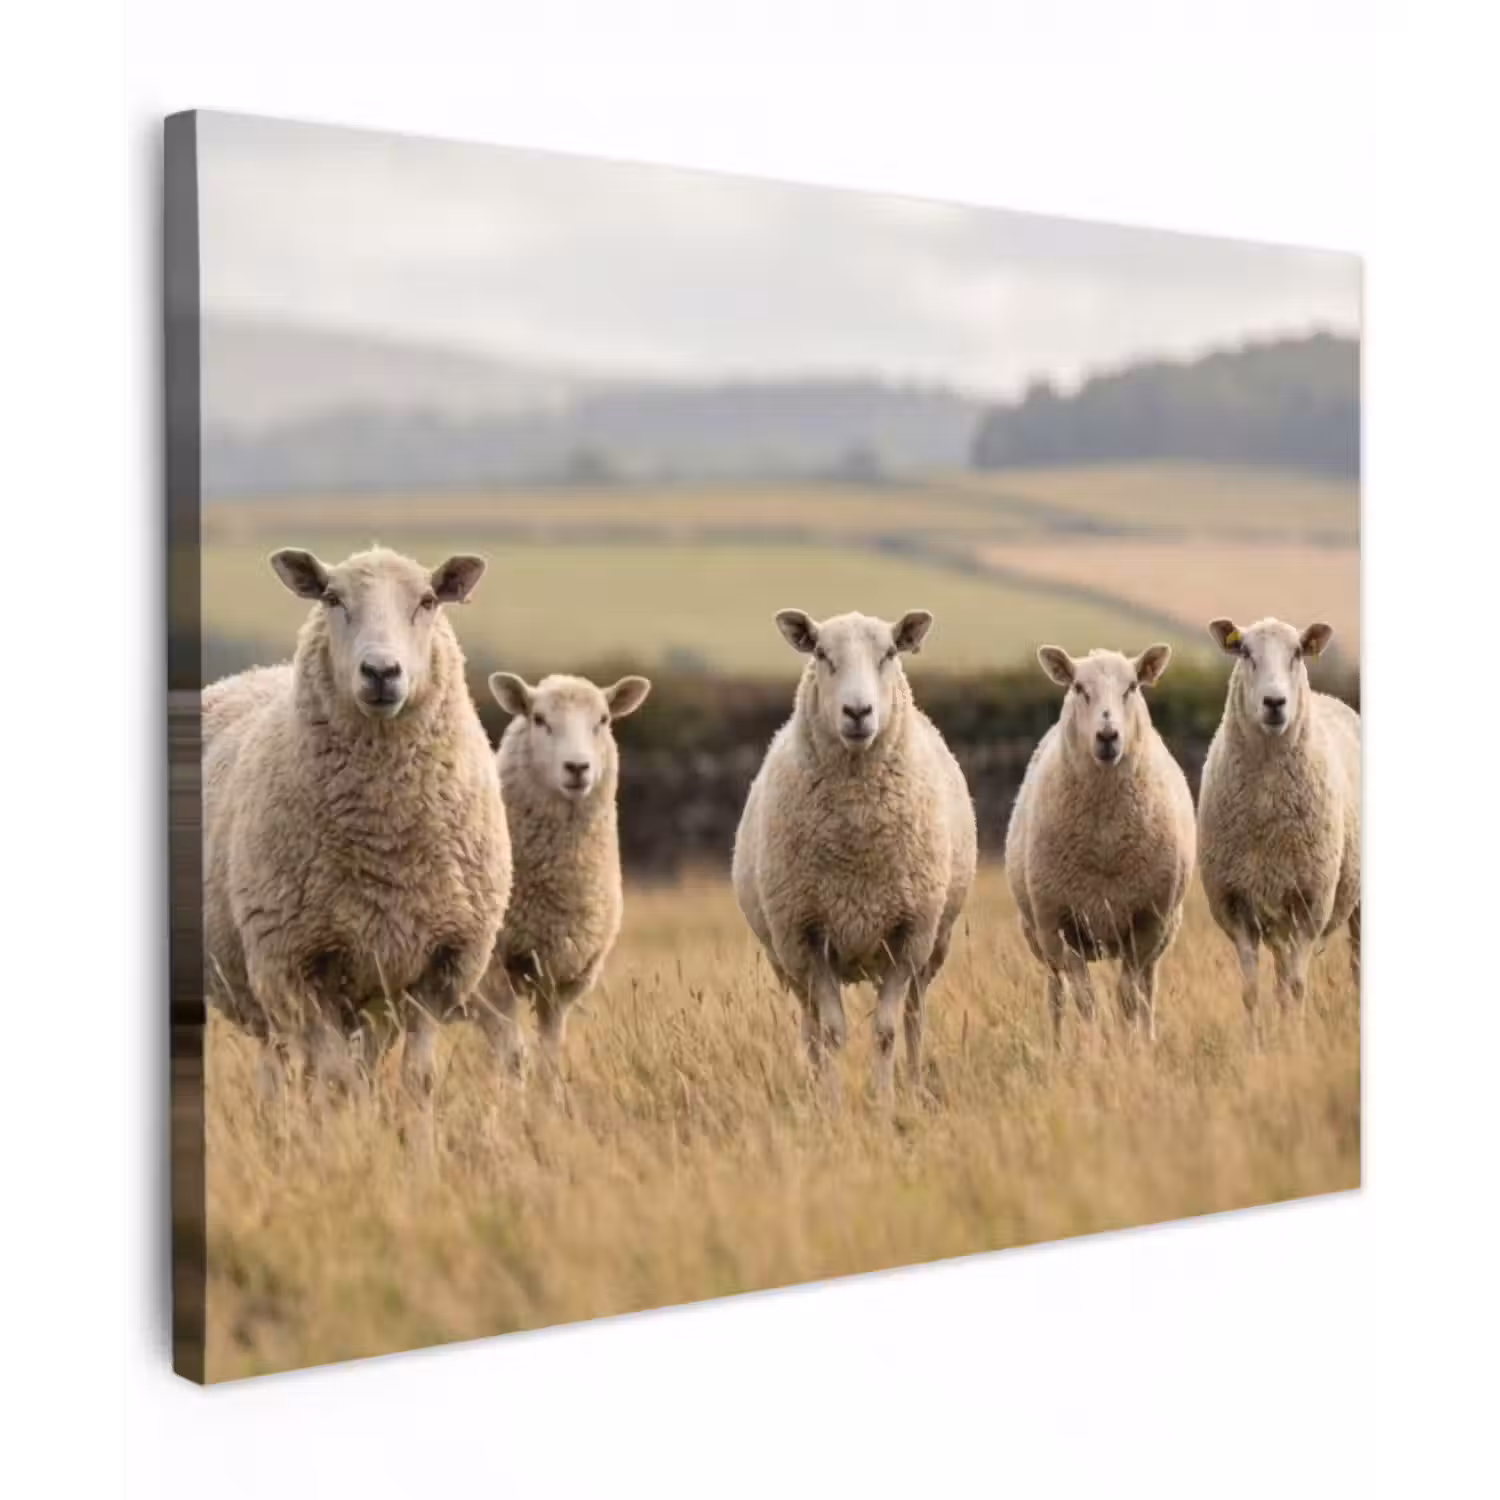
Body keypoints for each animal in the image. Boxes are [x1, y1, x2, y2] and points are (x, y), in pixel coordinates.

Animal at [202, 545, 512, 1096]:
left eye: (429, 600)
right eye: (331, 598)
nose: (381, 672)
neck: (386, 840)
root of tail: (249, 674)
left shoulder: (441, 966)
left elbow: (417, 1077)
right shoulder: (296, 967)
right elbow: (337, 1080)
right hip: (269, 987)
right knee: (282, 1070)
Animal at [473, 671, 651, 1080]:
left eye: (603, 720)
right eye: (538, 719)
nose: (577, 768)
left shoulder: (562, 981)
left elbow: (549, 1057)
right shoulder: (492, 975)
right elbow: (513, 1057)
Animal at [731, 608, 977, 1102]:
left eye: (889, 653)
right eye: (822, 654)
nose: (859, 712)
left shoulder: (908, 934)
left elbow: (885, 1030)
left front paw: (884, 1102)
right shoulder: (807, 935)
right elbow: (831, 1034)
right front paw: (832, 1104)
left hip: (933, 945)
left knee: (915, 1015)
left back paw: (915, 1082)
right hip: (784, 956)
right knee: (809, 1026)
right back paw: (811, 1087)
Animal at [1004, 643, 1196, 1043]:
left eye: (1132, 687)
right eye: (1079, 688)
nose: (1108, 736)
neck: (1106, 840)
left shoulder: (1145, 922)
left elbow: (1128, 996)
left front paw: (1129, 1045)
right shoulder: (1061, 923)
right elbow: (1085, 999)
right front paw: (1093, 1046)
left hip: (1162, 931)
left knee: (1147, 989)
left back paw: (1148, 1037)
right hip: (1038, 933)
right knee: (1056, 991)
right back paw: (1056, 1043)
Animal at [1196, 616, 1360, 1017]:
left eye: (1298, 652)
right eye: (1245, 652)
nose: (1274, 702)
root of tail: (1333, 699)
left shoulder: (1311, 902)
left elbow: (1298, 987)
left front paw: (1294, 1032)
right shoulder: (1237, 904)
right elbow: (1251, 990)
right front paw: (1258, 1035)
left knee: (1354, 964)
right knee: (1281, 973)